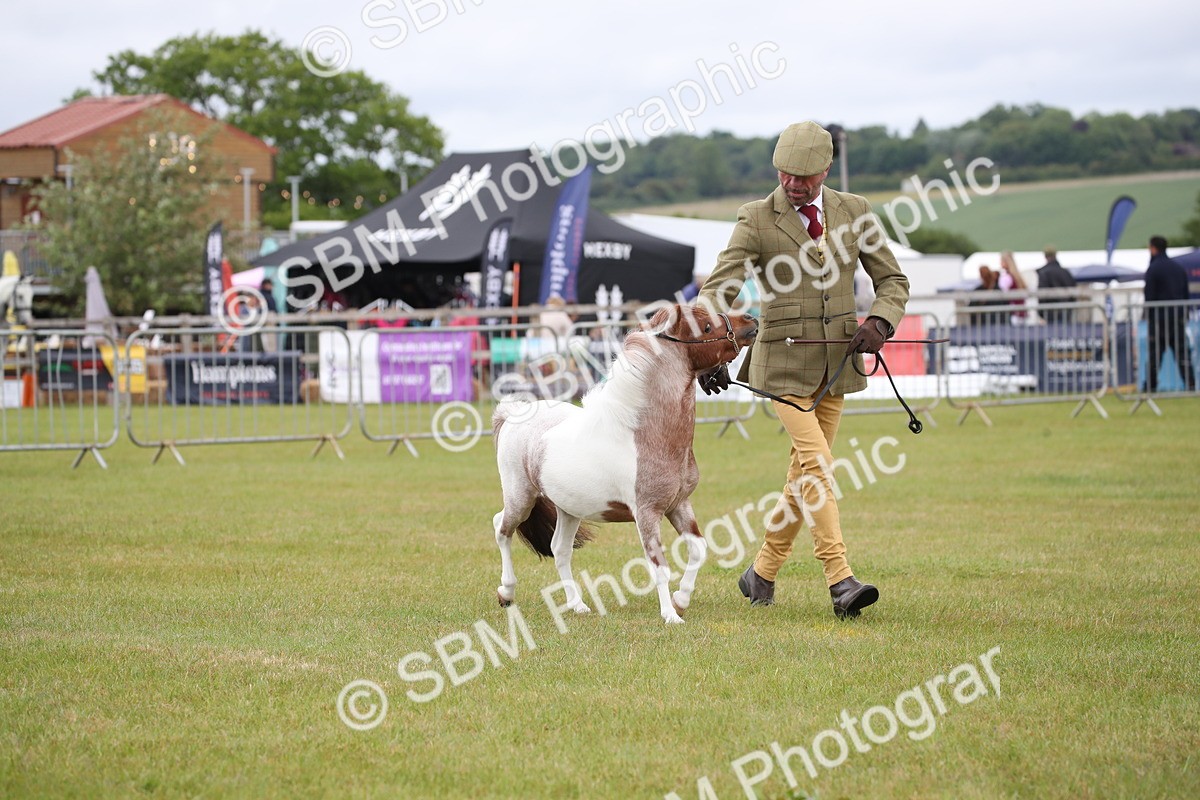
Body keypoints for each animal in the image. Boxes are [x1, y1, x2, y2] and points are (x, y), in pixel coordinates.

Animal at [491, 304, 758, 624]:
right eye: (705, 328)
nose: (751, 321)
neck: (647, 434)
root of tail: (512, 413)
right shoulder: (647, 513)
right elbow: (660, 566)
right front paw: (671, 616)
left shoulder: (678, 505)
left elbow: (698, 549)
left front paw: (681, 600)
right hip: (521, 497)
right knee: (501, 528)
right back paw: (506, 593)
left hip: (569, 507)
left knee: (560, 549)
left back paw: (578, 605)